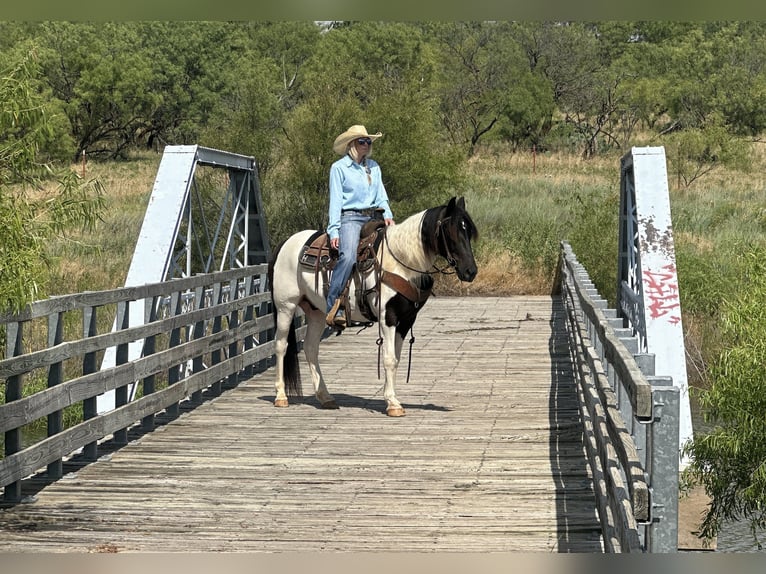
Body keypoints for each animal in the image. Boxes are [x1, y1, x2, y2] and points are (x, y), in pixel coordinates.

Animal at [268, 196, 476, 416]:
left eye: (469, 231)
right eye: (451, 231)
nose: (470, 271)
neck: (400, 263)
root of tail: (285, 243)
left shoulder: (406, 321)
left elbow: (396, 359)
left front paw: (391, 397)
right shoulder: (388, 317)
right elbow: (389, 359)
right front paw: (393, 404)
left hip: (315, 312)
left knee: (310, 348)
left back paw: (325, 397)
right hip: (286, 306)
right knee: (281, 345)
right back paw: (281, 396)